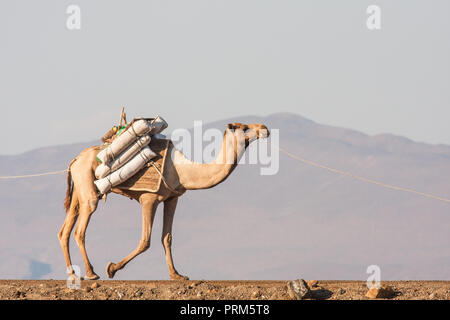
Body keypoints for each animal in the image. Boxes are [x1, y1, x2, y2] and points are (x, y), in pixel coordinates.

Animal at [58, 122, 268, 280]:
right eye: (244, 127)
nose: (265, 128)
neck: (181, 171)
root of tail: (75, 160)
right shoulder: (148, 199)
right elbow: (145, 240)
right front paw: (112, 268)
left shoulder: (172, 198)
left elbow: (167, 237)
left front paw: (177, 275)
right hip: (88, 189)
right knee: (79, 231)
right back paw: (91, 273)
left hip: (79, 190)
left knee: (65, 230)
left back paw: (73, 274)